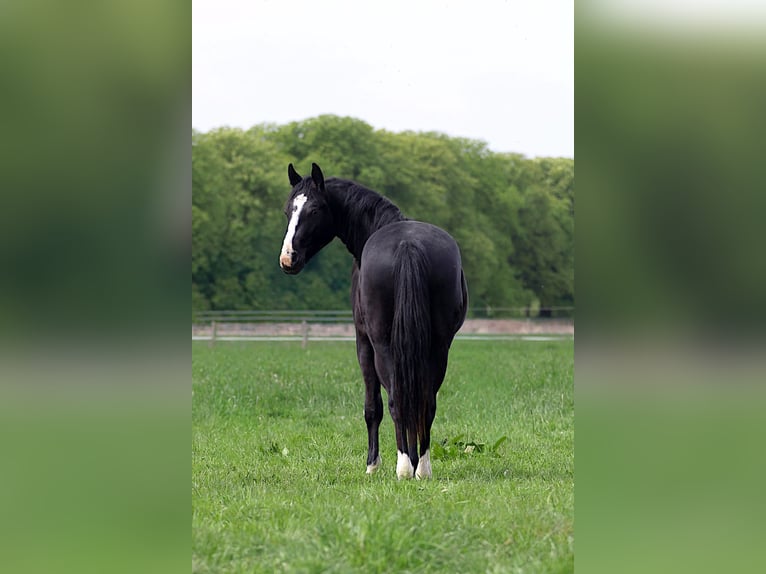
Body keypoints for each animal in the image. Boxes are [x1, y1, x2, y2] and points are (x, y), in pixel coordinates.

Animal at [279, 162, 468, 479]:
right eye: (287, 210)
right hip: (438, 347)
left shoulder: (363, 341)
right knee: (424, 400)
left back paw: (404, 466)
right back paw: (421, 467)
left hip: (382, 345)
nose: (288, 259)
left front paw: (373, 464)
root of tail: (408, 245)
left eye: (315, 209)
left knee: (395, 400)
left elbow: (373, 407)